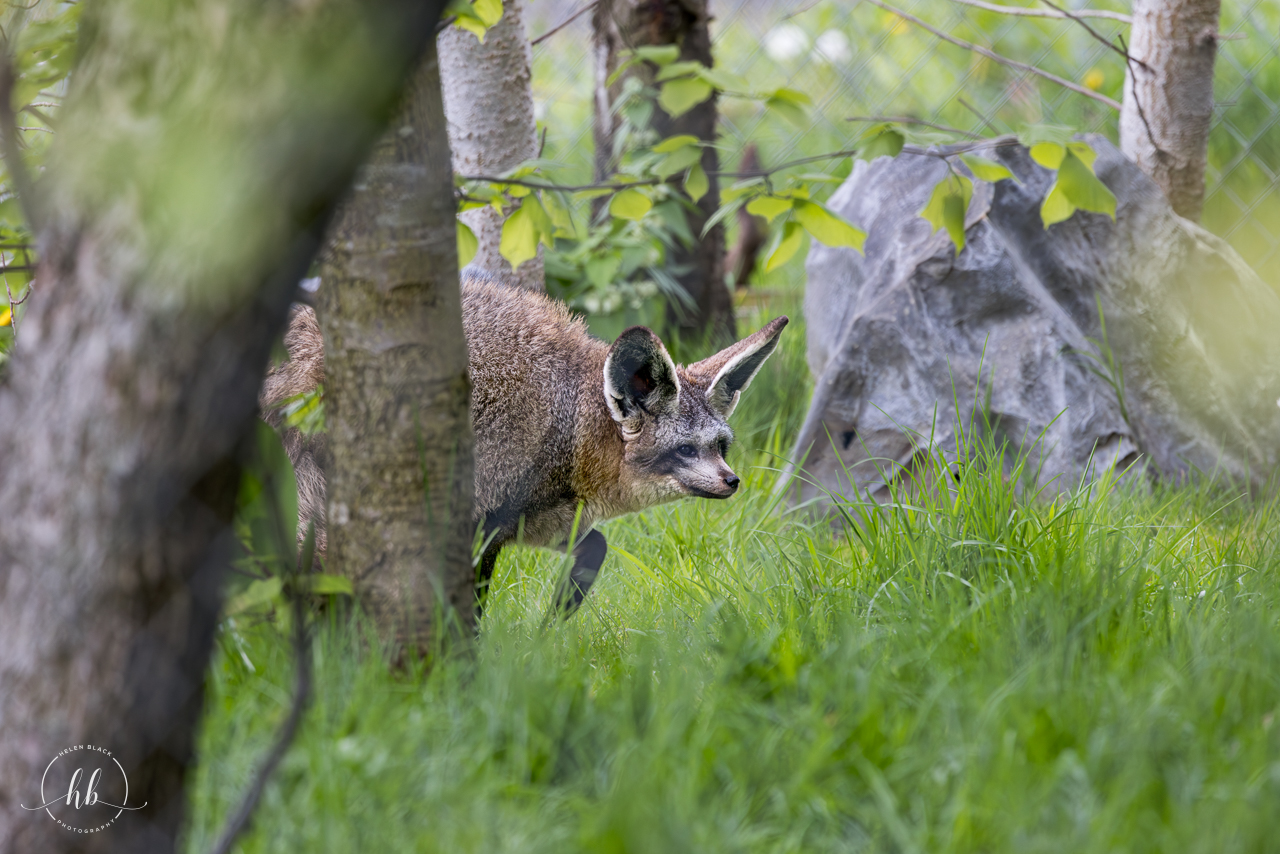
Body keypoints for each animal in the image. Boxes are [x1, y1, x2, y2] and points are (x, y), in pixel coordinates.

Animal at [260, 268, 788, 614]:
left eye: (721, 447)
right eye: (684, 449)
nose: (733, 481)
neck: (563, 424)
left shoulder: (536, 523)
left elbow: (595, 551)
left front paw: (553, 623)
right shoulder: (476, 526)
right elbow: (467, 611)